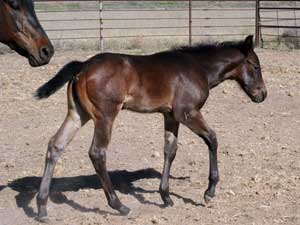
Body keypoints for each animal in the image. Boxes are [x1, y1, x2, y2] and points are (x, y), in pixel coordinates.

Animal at [35, 35, 268, 220]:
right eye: (256, 66)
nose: (262, 95)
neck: (198, 67)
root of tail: (83, 66)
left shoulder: (171, 116)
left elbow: (170, 150)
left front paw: (166, 196)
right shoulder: (188, 113)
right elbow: (212, 139)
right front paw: (209, 192)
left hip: (77, 114)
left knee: (55, 145)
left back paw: (42, 207)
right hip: (105, 116)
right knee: (97, 153)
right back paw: (119, 206)